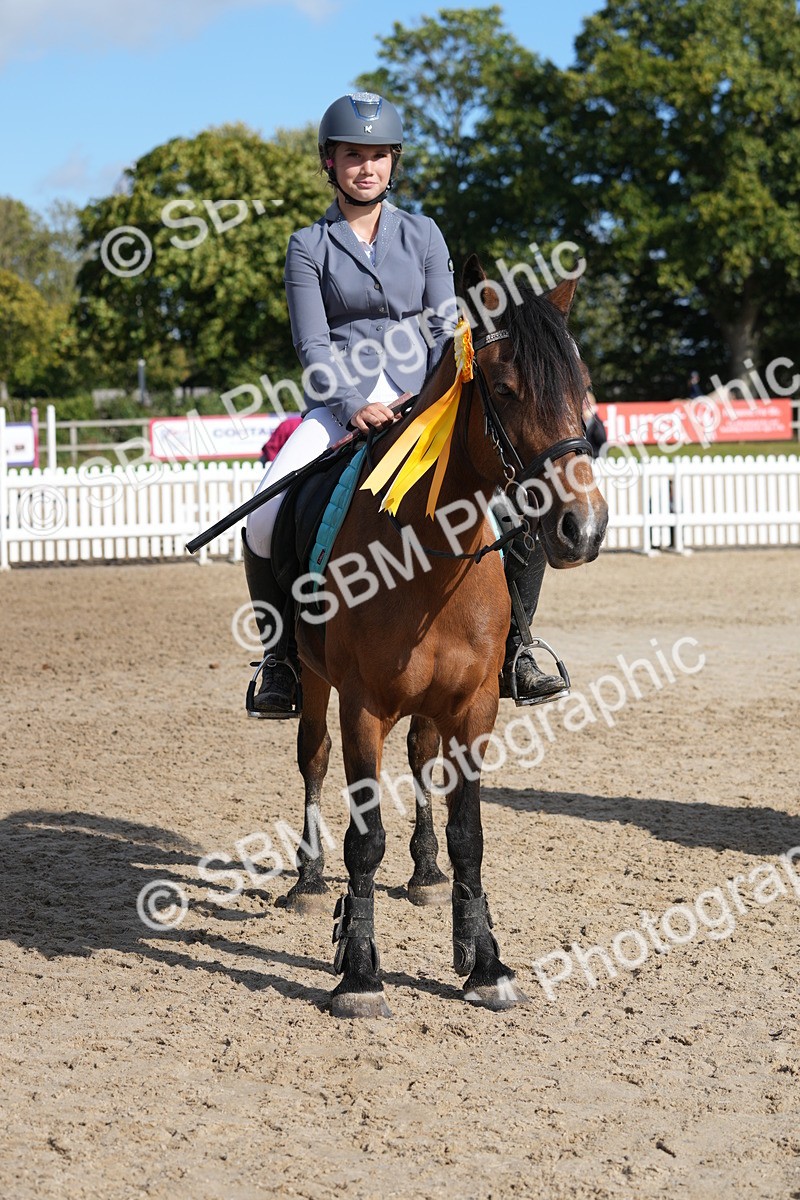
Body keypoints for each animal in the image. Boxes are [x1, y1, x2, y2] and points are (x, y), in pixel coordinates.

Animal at [280, 258, 608, 1017]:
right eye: (508, 389)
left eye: (582, 390)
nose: (583, 527)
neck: (424, 558)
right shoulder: (362, 706)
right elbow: (364, 839)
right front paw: (360, 972)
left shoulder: (475, 706)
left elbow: (469, 833)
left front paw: (483, 960)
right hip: (315, 682)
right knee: (313, 759)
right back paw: (308, 880)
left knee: (422, 760)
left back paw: (427, 876)